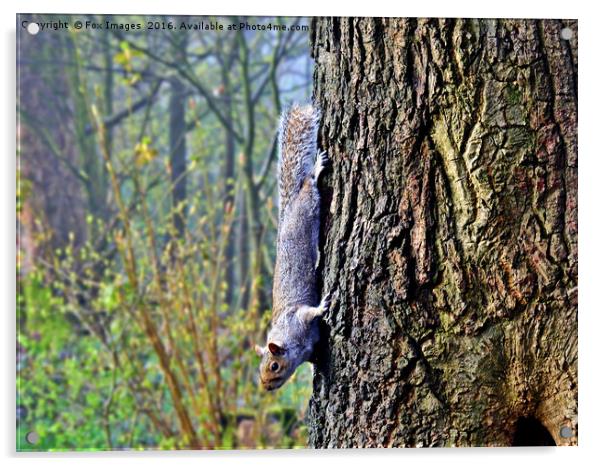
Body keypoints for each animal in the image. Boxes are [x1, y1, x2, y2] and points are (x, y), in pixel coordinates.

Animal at [253, 104, 328, 392]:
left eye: (274, 366)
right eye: (260, 369)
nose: (265, 387)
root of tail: (287, 213)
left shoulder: (299, 319)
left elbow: (310, 312)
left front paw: (324, 305)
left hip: (307, 205)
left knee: (309, 184)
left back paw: (316, 168)